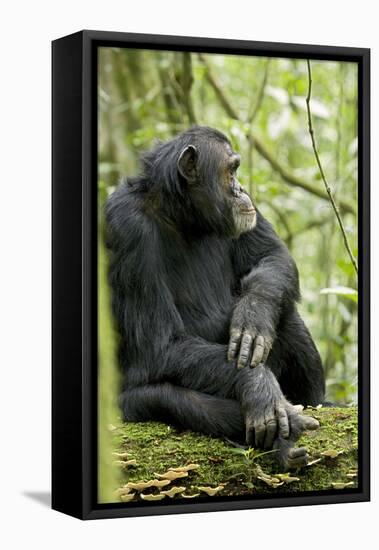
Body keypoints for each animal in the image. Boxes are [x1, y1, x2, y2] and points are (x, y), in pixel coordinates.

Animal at [105, 127, 326, 472]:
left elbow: (271, 255)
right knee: (168, 398)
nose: (241, 188)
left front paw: (253, 316)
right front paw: (257, 384)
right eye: (231, 171)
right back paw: (285, 435)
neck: (182, 215)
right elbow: (159, 345)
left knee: (285, 310)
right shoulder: (126, 227)